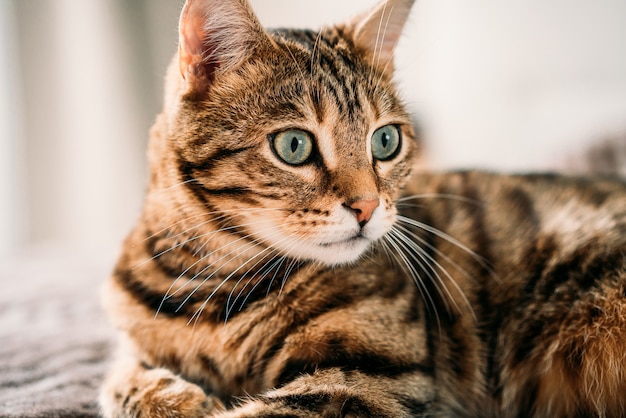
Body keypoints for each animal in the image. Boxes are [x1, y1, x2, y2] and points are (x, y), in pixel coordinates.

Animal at [97, 0, 624, 416]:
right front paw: (175, 397)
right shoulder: (130, 336)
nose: (368, 207)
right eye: (293, 145)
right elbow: (122, 374)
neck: (215, 287)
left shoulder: (363, 378)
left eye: (385, 141)